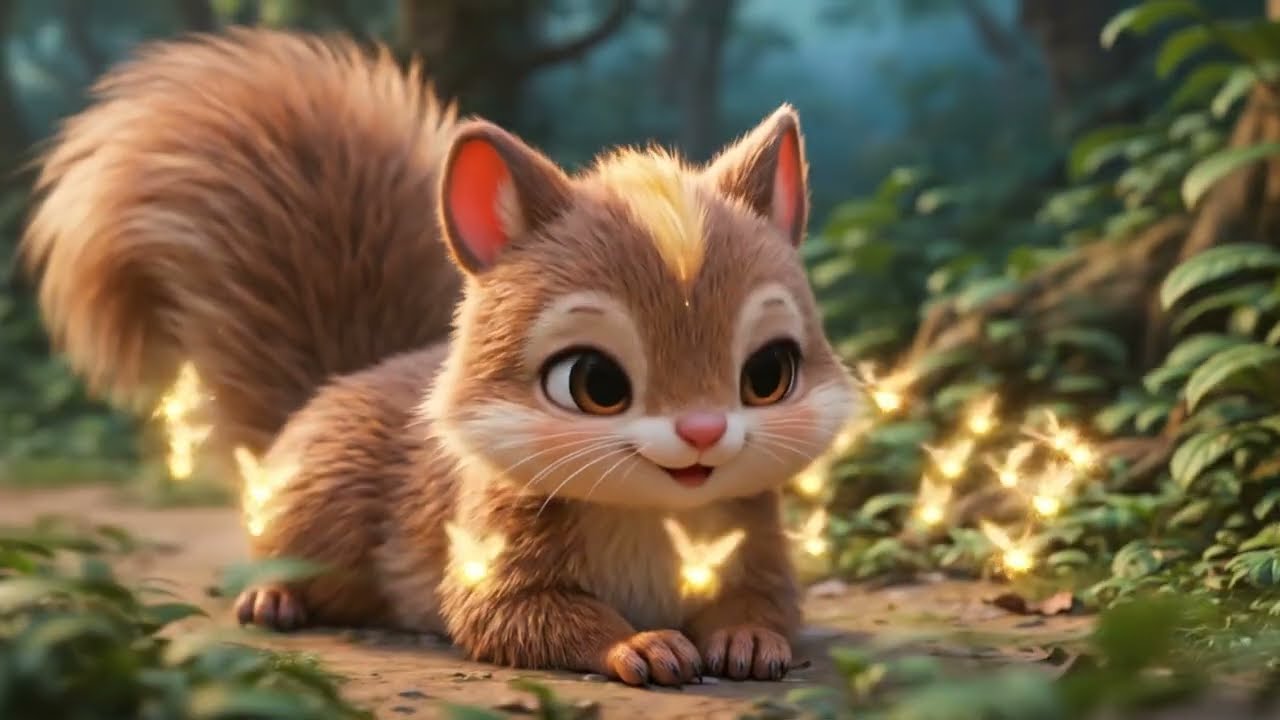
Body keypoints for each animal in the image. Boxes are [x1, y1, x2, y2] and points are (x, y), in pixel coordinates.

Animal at [20, 28, 860, 686]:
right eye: (592, 382)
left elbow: (767, 599)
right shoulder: (485, 543)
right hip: (315, 503)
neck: (655, 514)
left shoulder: (753, 541)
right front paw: (642, 644)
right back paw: (274, 597)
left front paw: (747, 638)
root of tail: (332, 386)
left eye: (770, 373)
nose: (703, 435)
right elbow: (513, 615)